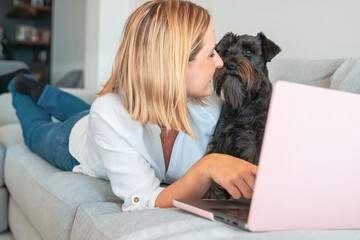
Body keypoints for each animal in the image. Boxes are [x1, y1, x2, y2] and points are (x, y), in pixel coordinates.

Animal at [204, 32, 280, 200]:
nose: (229, 64)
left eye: (249, 52)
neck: (244, 103)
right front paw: (211, 196)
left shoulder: (255, 143)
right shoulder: (221, 141)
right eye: (225, 52)